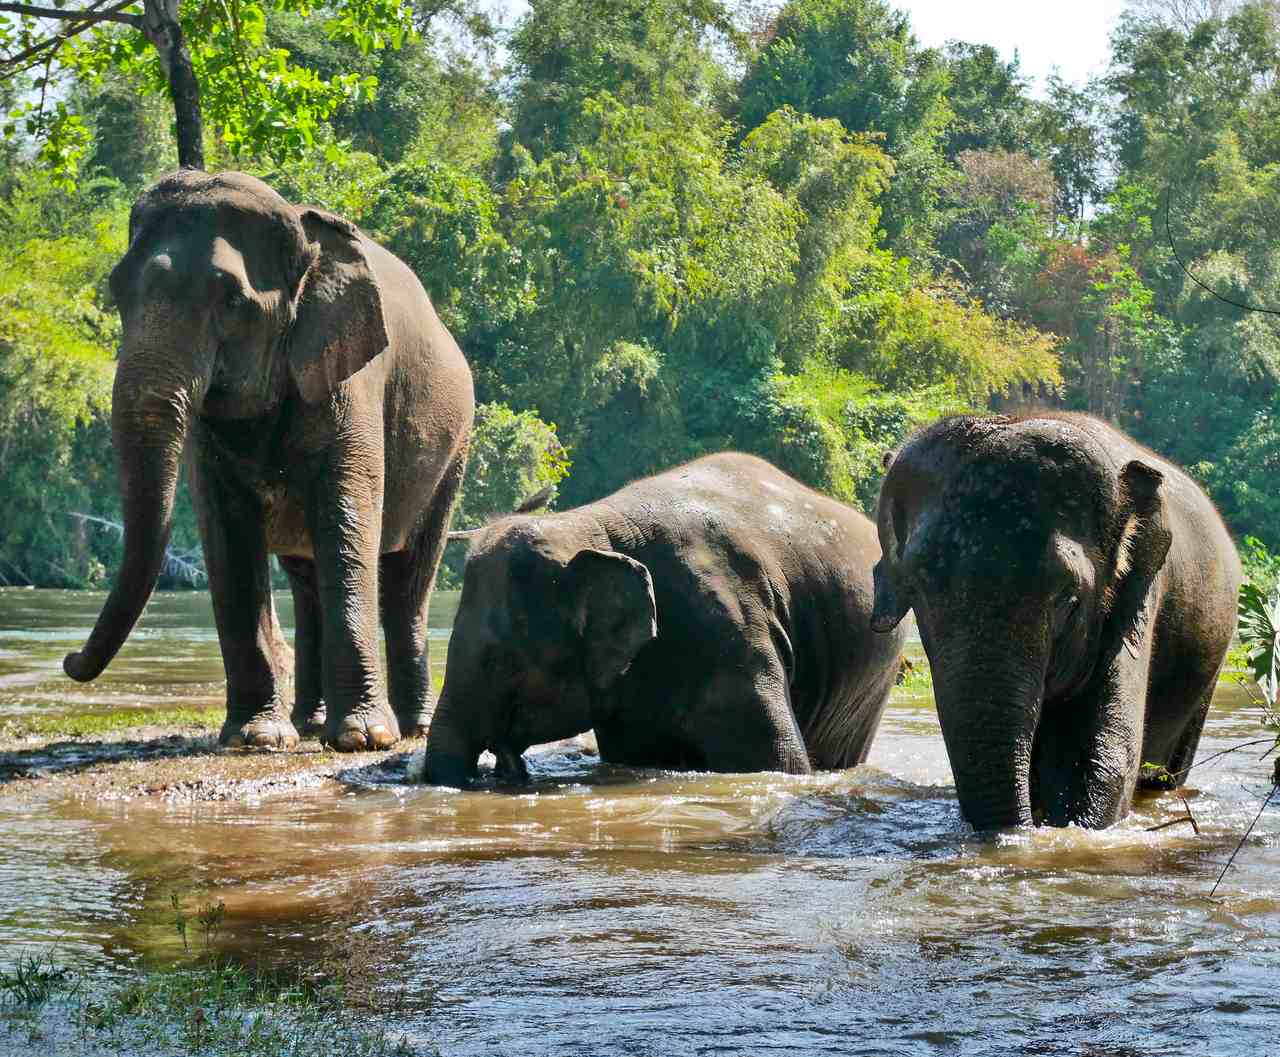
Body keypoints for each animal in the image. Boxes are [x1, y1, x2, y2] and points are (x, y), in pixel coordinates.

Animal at [62, 169, 475, 753]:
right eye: (117, 290)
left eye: (233, 301)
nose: (70, 660)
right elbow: (228, 532)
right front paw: (254, 737)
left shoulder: (353, 376)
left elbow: (346, 515)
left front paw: (364, 738)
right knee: (306, 582)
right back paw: (308, 725)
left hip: (454, 451)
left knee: (409, 579)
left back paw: (411, 727)